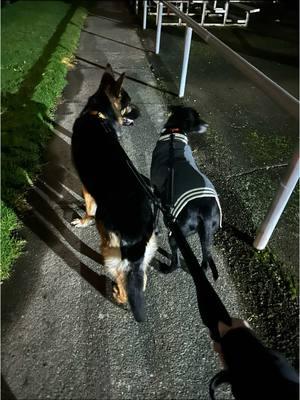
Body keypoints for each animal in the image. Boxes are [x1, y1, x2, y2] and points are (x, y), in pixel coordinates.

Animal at [71, 65, 157, 322]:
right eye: (129, 103)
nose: (139, 112)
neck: (97, 114)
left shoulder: (86, 186)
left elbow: (89, 207)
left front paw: (84, 220)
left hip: (110, 249)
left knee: (123, 279)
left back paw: (118, 294)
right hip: (141, 255)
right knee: (141, 280)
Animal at [151, 106, 221, 282]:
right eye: (196, 117)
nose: (207, 125)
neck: (173, 133)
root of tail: (206, 212)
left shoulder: (155, 190)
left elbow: (155, 215)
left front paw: (155, 229)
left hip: (176, 235)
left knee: (176, 261)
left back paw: (166, 268)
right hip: (206, 234)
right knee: (204, 262)